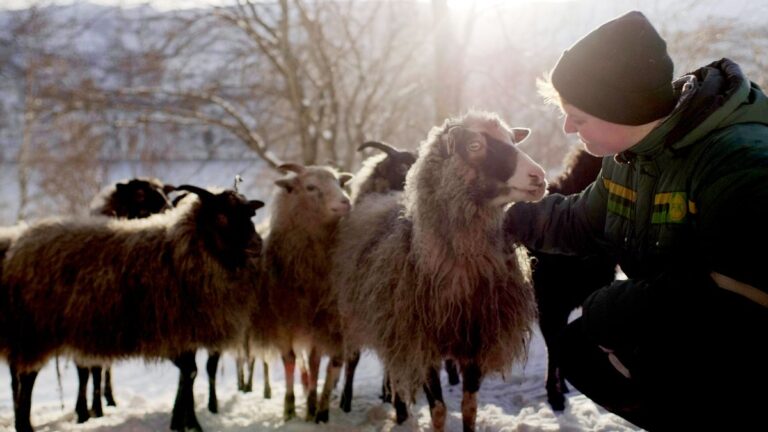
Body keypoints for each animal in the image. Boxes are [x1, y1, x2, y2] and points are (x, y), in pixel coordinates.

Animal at [1, 184, 264, 432]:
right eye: (221, 216)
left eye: (250, 214)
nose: (257, 245)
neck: (181, 251)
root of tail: (19, 246)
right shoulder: (170, 330)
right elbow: (189, 372)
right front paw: (190, 424)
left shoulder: (184, 332)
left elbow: (188, 374)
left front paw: (181, 421)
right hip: (34, 332)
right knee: (26, 379)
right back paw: (25, 424)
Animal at [257, 163, 352, 423]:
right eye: (310, 187)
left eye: (339, 183)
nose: (346, 201)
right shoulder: (283, 321)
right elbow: (290, 361)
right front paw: (289, 409)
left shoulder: (320, 322)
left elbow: (316, 362)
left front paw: (312, 408)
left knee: (331, 364)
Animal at [333, 111, 547, 431]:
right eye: (474, 145)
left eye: (512, 139)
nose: (539, 177)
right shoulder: (421, 344)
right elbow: (438, 410)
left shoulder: (476, 341)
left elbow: (469, 407)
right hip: (358, 316)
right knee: (353, 361)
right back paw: (350, 404)